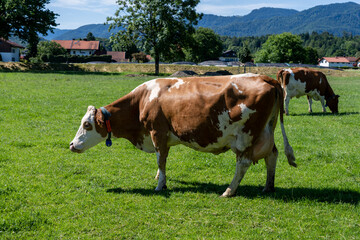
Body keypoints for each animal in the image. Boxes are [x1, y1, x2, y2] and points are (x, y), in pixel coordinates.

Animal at [69, 73, 296, 197]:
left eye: (87, 125)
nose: (71, 145)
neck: (142, 100)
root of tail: (264, 77)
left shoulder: (157, 133)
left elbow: (161, 159)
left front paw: (160, 185)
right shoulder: (163, 138)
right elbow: (162, 160)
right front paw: (159, 177)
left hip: (245, 136)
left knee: (244, 163)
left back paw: (229, 191)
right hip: (266, 131)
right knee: (272, 155)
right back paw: (268, 186)